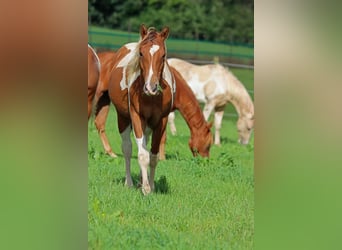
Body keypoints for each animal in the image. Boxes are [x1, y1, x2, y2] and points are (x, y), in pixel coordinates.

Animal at [108, 23, 175, 195]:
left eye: (163, 55)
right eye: (141, 53)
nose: (151, 87)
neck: (151, 97)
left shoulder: (161, 121)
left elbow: (153, 156)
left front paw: (150, 185)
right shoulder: (136, 116)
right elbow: (142, 155)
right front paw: (145, 188)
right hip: (123, 118)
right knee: (127, 148)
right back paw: (130, 183)